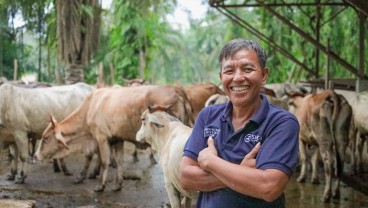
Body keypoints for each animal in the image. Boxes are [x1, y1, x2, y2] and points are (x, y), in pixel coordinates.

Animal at [35, 85, 196, 192]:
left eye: (46, 138)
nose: (36, 155)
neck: (90, 107)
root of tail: (178, 92)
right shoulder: (117, 139)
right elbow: (118, 161)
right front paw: (118, 184)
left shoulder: (101, 137)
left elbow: (104, 161)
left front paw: (100, 185)